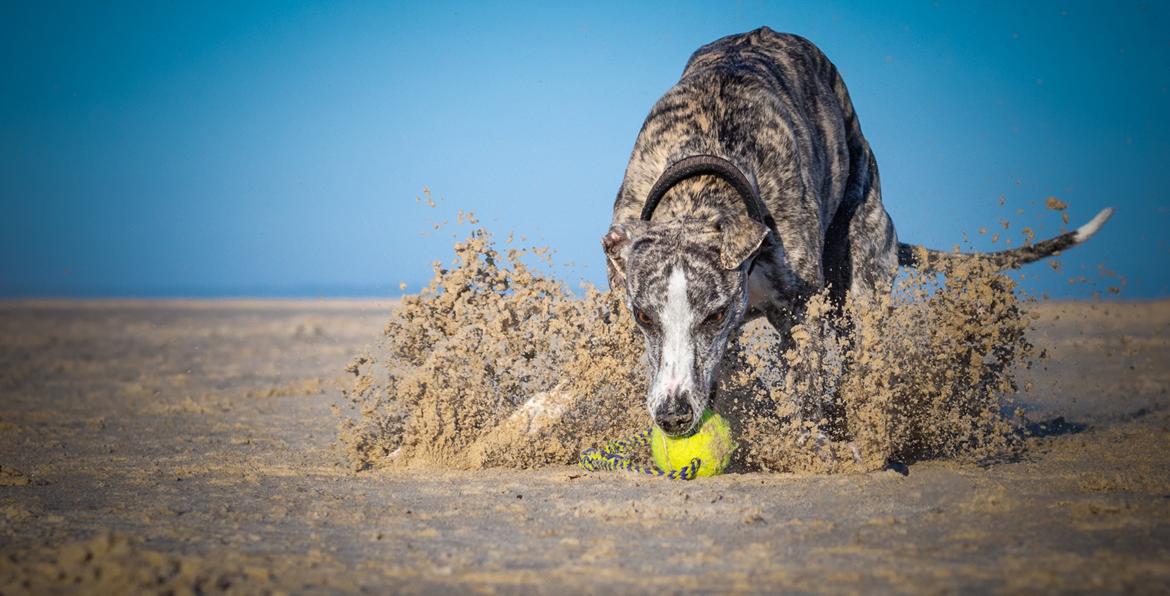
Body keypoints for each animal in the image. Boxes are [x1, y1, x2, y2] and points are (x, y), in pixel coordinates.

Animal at [608, 26, 1109, 437]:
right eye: (644, 317)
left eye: (713, 315)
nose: (673, 417)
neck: (707, 171)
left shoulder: (801, 308)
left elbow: (804, 382)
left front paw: (806, 445)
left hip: (861, 277)